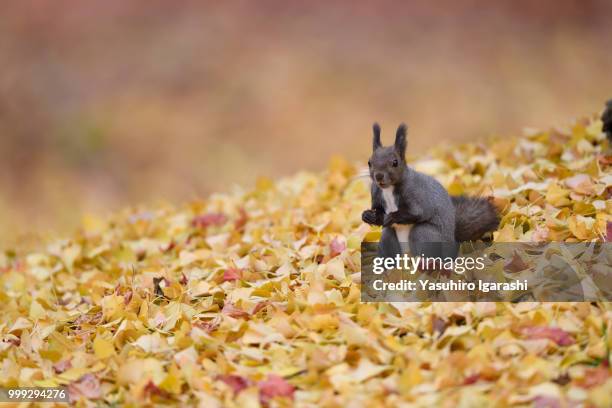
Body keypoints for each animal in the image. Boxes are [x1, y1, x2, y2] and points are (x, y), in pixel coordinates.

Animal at [360, 122, 500, 260]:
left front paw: (392, 217)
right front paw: (368, 215)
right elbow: (378, 212)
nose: (378, 176)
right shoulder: (376, 192)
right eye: (369, 162)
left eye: (395, 162)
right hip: (388, 238)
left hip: (424, 235)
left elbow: (417, 213)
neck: (388, 189)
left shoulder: (415, 193)